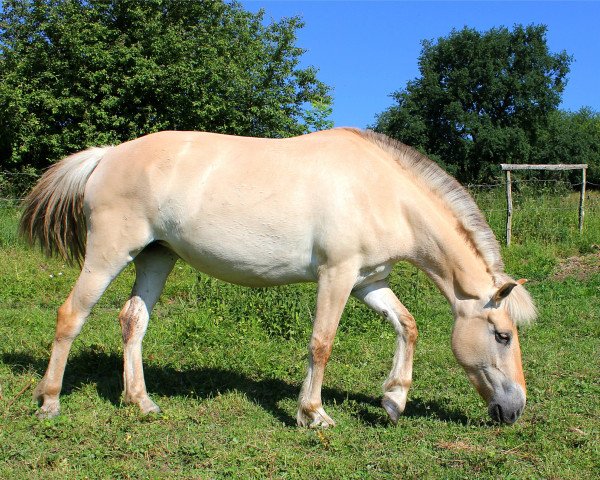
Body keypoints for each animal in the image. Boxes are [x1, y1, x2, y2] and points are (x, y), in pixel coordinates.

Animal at [18, 126, 536, 424]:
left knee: (132, 321)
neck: (381, 191)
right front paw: (313, 414)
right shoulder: (337, 275)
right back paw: (49, 402)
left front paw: (393, 401)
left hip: (155, 256)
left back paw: (141, 403)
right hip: (109, 253)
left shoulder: (369, 281)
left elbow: (407, 325)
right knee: (71, 316)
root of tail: (107, 155)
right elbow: (321, 343)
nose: (514, 411)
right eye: (503, 335)